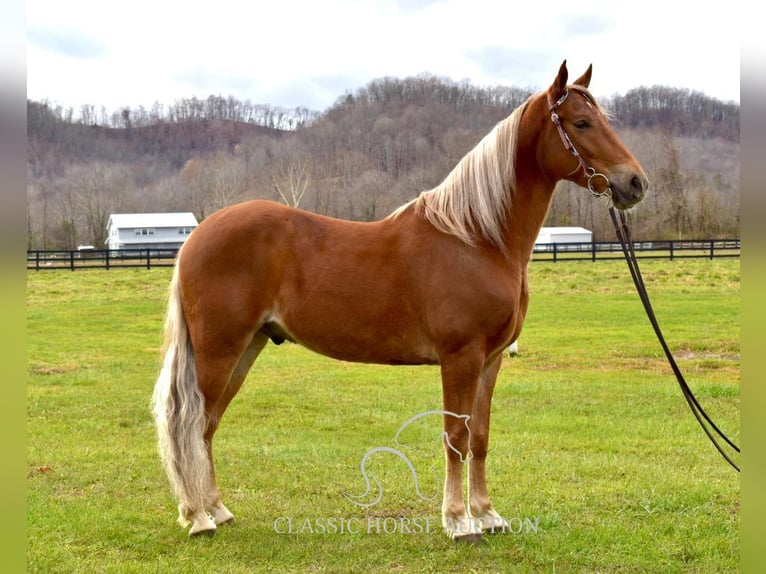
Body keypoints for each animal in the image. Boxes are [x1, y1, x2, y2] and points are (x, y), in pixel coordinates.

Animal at [150, 60, 648, 544]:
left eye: (604, 119)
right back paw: (199, 518)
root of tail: (195, 237)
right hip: (219, 351)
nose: (635, 183)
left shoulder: (490, 361)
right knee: (191, 426)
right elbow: (455, 435)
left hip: (247, 348)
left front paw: (488, 515)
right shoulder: (461, 357)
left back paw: (216, 509)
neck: (477, 238)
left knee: (207, 427)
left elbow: (481, 436)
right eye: (581, 123)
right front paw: (458, 522)